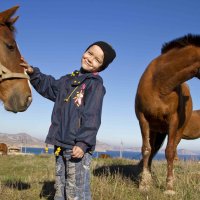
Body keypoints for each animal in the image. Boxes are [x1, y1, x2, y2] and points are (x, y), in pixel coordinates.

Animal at [135, 34, 200, 194]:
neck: (160, 84)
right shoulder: (143, 119)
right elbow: (146, 149)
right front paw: (144, 184)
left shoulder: (173, 121)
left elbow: (170, 152)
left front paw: (169, 187)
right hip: (155, 130)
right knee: (152, 150)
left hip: (177, 130)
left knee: (173, 150)